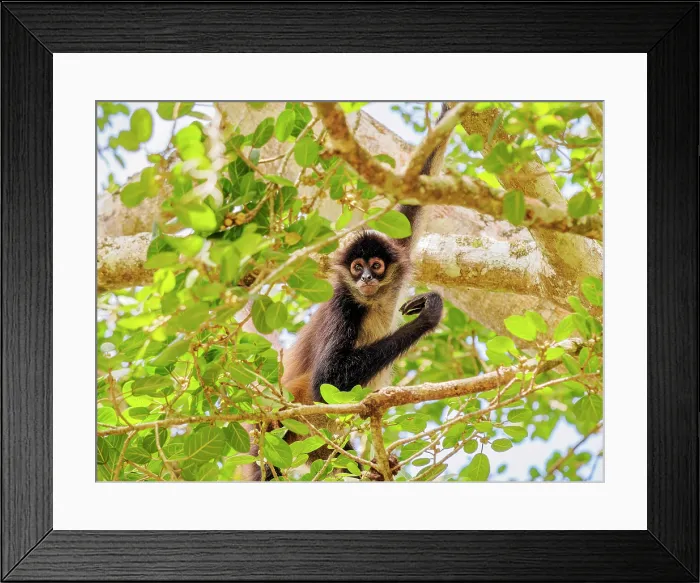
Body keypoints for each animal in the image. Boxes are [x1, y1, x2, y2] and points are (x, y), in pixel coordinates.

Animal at [242, 103, 451, 481]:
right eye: (356, 268)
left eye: (376, 265)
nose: (366, 277)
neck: (373, 301)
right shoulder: (344, 306)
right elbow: (326, 380)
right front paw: (429, 315)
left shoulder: (397, 253)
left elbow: (417, 188)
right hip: (273, 432)